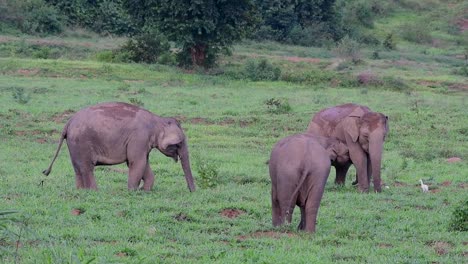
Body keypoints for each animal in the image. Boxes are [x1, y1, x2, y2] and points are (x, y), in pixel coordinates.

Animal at [43, 101, 196, 192]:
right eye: (180, 143)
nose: (193, 191)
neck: (158, 121)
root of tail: (68, 122)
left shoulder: (143, 142)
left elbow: (143, 163)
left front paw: (144, 190)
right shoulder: (139, 137)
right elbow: (136, 162)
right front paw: (133, 191)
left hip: (74, 144)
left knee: (77, 168)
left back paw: (81, 191)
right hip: (82, 142)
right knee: (87, 168)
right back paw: (94, 191)